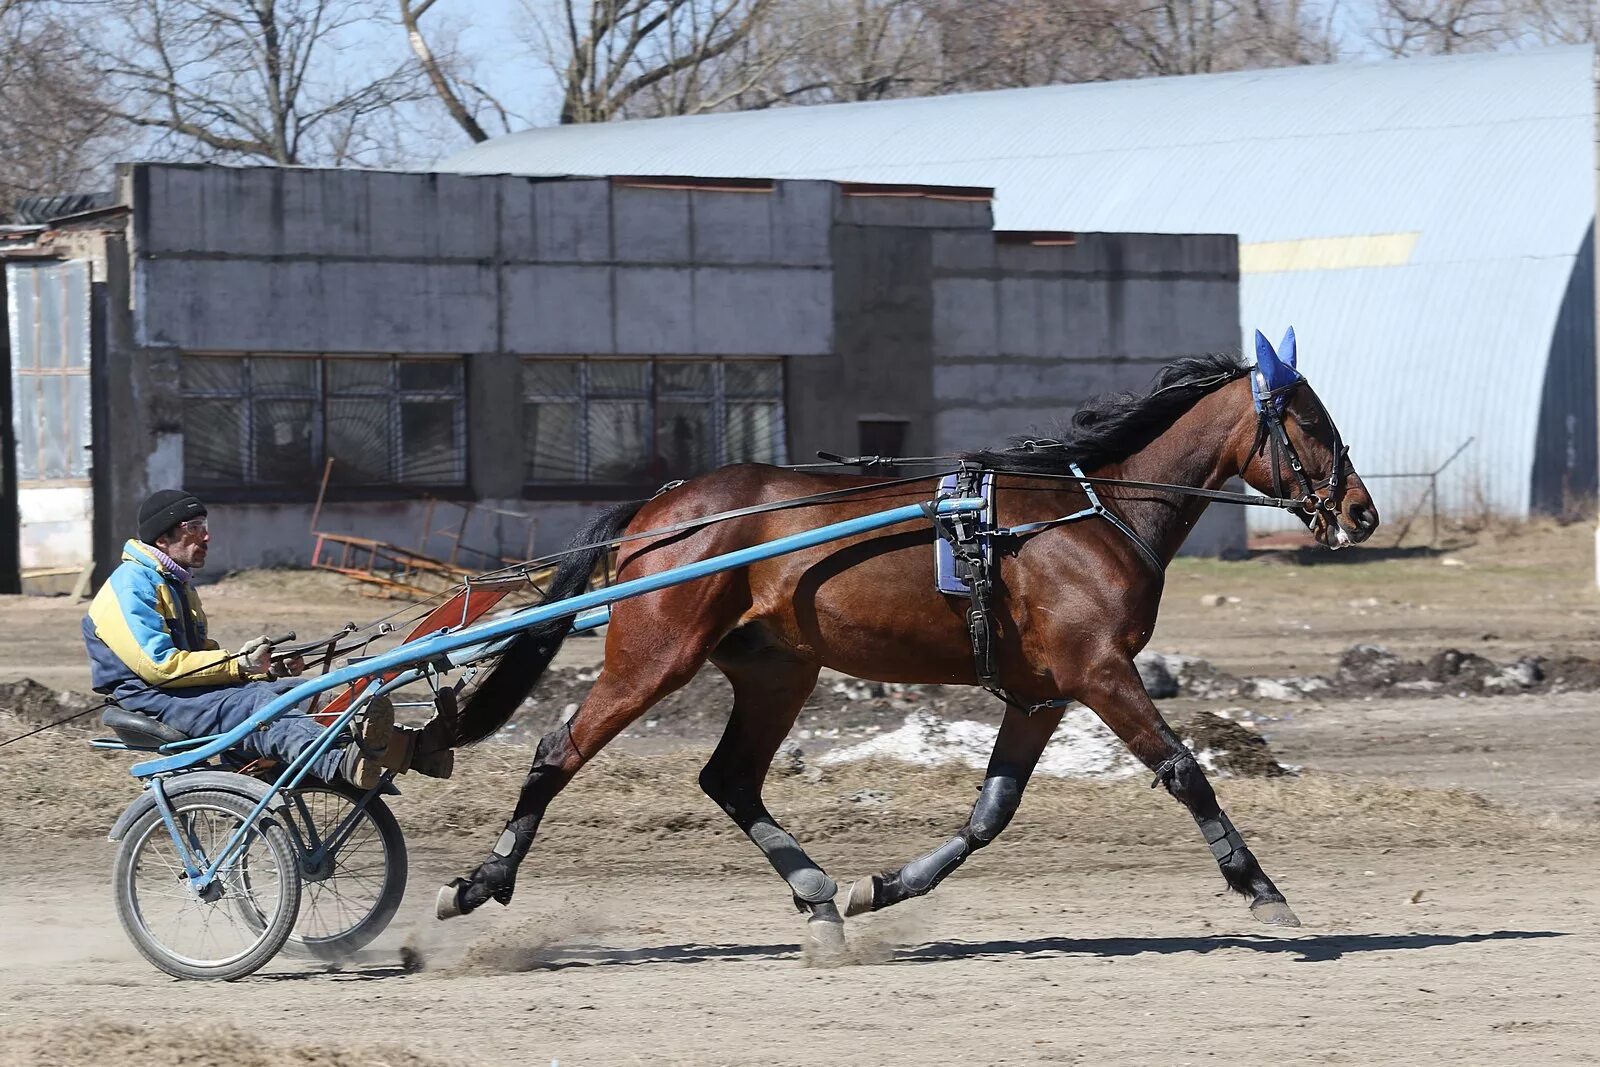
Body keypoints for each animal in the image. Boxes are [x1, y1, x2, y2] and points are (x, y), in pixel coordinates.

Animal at [435, 340, 1376, 940]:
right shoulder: (1100, 670)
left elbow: (991, 812)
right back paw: (479, 882)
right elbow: (1183, 769)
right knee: (558, 751)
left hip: (779, 671)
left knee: (729, 778)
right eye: (1313, 423)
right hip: (655, 654)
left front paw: (884, 886)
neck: (1095, 510)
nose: (1361, 511)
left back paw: (816, 892)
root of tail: (662, 505)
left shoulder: (1044, 691)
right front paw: (1260, 887)